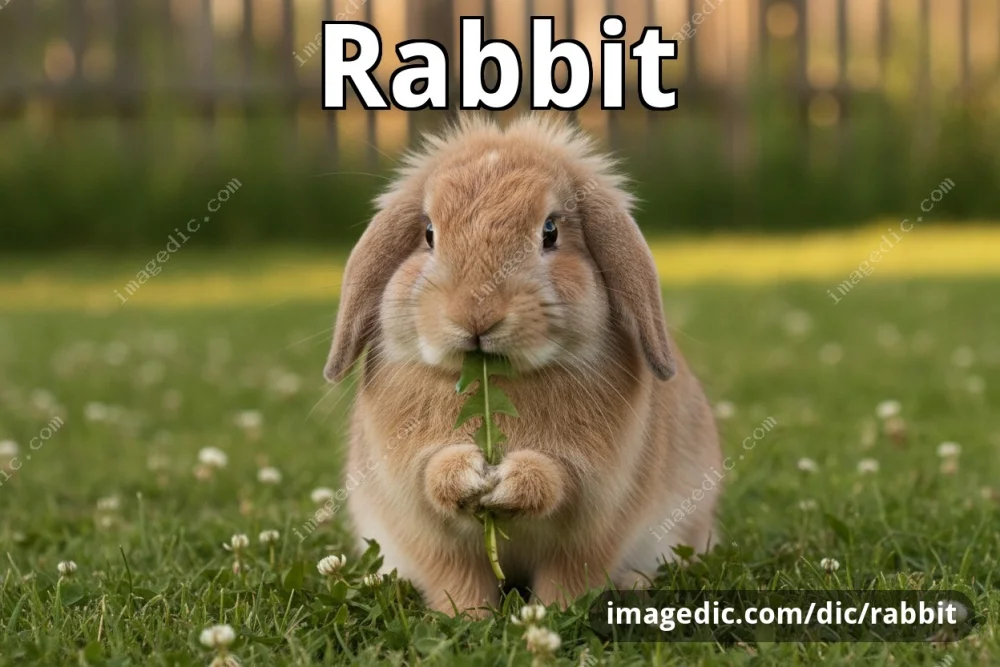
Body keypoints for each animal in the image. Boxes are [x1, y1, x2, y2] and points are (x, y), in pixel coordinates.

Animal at [324, 115, 722, 615]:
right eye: (429, 233)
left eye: (550, 231)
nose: (476, 314)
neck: (499, 379)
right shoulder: (419, 505)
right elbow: (445, 522)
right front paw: (469, 613)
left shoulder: (592, 508)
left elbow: (555, 500)